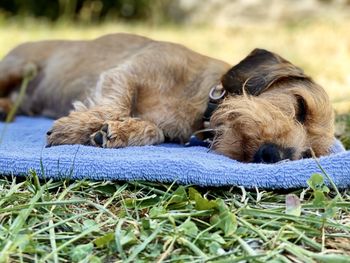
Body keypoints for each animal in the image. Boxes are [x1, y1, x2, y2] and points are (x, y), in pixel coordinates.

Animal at [0, 33, 334, 163]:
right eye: (300, 106)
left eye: (308, 156)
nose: (273, 156)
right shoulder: (129, 71)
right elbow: (116, 102)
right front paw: (77, 128)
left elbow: (154, 130)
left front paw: (120, 131)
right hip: (19, 67)